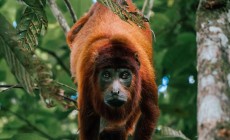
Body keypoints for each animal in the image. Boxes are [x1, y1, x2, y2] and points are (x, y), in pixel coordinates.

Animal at [66, 0, 160, 140]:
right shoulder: (87, 69)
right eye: (106, 75)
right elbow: (89, 118)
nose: (115, 91)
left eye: (125, 75)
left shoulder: (143, 71)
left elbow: (150, 111)